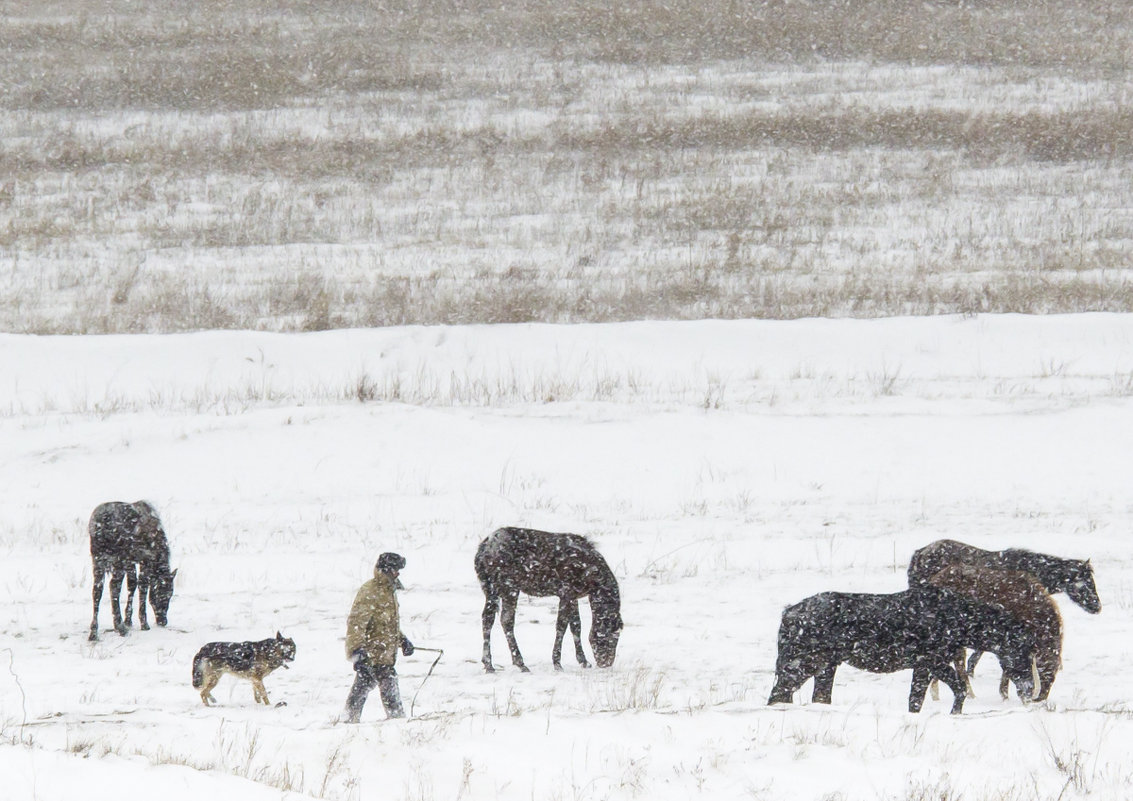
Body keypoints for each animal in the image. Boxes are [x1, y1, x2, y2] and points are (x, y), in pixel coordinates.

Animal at [88, 505, 176, 643]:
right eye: (166, 594)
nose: (163, 621)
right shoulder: (144, 560)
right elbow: (142, 586)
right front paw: (143, 623)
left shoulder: (131, 562)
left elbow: (132, 585)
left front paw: (128, 620)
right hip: (117, 560)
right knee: (113, 587)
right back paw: (120, 628)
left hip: (97, 560)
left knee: (97, 591)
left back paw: (93, 632)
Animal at [473, 525, 625, 670]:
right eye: (613, 635)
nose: (606, 663)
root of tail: (481, 552)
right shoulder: (566, 592)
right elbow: (561, 626)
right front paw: (557, 662)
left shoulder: (573, 595)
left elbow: (576, 625)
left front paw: (583, 660)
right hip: (506, 587)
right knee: (498, 619)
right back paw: (505, 663)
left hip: (495, 589)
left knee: (496, 619)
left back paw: (503, 663)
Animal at [765, 584, 1037, 716]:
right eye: (1023, 651)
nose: (1029, 690)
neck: (957, 620)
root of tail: (788, 613)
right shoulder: (930, 662)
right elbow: (934, 695)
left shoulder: (929, 664)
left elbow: (937, 695)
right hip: (801, 665)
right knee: (778, 694)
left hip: (825, 666)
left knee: (814, 697)